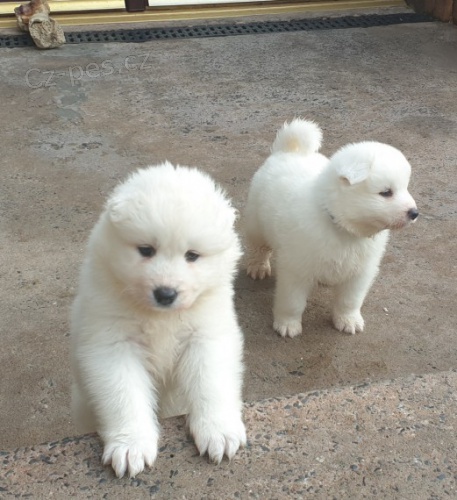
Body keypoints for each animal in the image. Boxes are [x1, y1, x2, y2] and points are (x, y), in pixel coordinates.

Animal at [70, 162, 246, 478]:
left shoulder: (206, 334)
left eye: (192, 255)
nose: (166, 293)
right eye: (146, 250)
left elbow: (211, 381)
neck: (161, 317)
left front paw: (219, 431)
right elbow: (124, 394)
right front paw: (131, 445)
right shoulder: (113, 343)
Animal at [244, 119, 418, 338]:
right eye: (386, 192)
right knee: (259, 247)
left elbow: (350, 301)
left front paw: (348, 320)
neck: (342, 227)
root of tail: (289, 150)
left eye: (405, 188)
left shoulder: (361, 272)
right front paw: (288, 324)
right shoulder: (296, 269)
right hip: (255, 223)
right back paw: (258, 267)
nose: (414, 213)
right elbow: (292, 302)